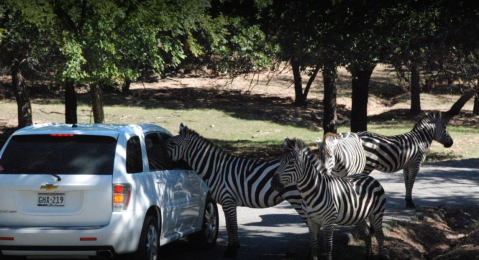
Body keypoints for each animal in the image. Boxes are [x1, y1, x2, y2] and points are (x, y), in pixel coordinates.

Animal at [167, 124, 306, 258]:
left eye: (172, 144)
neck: (217, 169)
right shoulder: (226, 202)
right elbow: (229, 226)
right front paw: (231, 247)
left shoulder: (228, 200)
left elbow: (233, 225)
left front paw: (232, 250)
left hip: (298, 198)